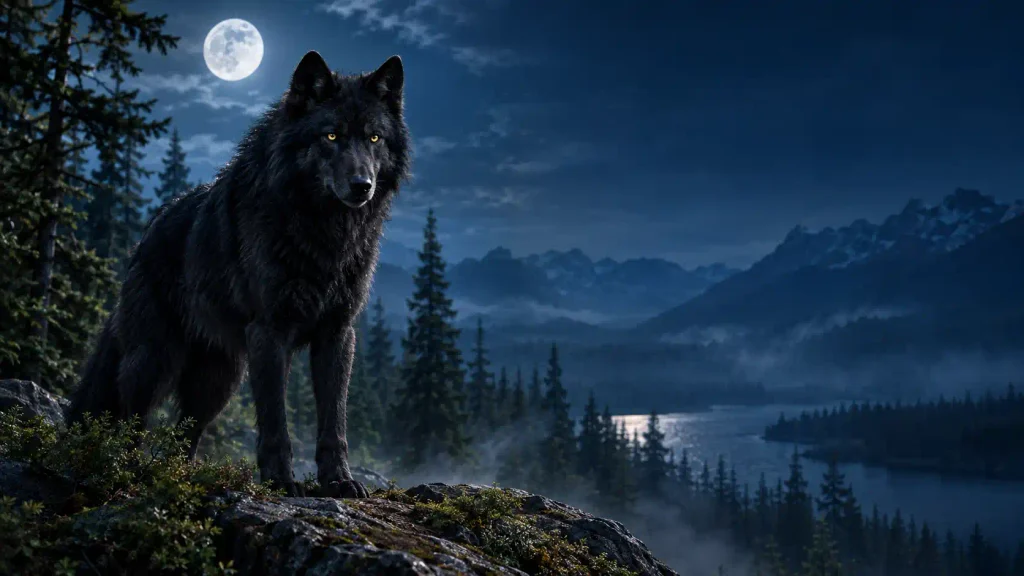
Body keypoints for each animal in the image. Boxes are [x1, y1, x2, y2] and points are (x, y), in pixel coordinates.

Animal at [65, 51, 411, 498]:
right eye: (331, 136)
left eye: (374, 139)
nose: (361, 185)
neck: (323, 233)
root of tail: (145, 235)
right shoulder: (270, 332)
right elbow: (276, 422)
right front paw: (281, 483)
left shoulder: (337, 334)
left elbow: (334, 421)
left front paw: (339, 481)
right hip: (154, 362)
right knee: (130, 416)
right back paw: (123, 472)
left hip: (218, 382)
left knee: (184, 436)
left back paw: (179, 477)